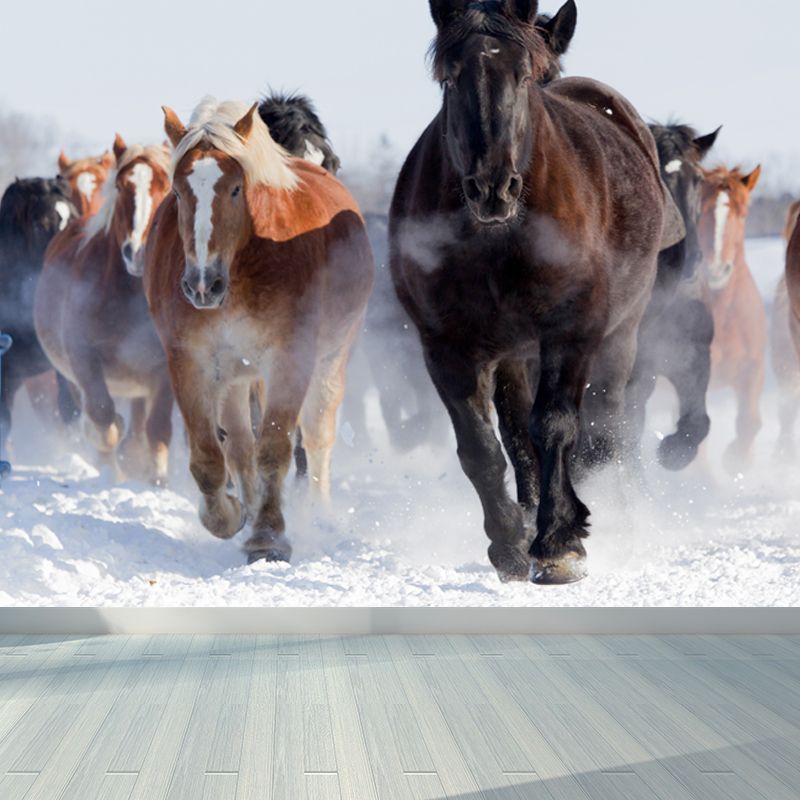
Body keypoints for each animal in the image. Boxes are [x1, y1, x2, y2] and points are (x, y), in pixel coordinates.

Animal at [35, 136, 173, 483]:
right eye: (122, 187)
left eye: (166, 186)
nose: (137, 252)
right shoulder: (83, 359)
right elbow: (101, 417)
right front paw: (112, 470)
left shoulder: (167, 366)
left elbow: (157, 426)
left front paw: (156, 477)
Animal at [145, 98, 373, 564]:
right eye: (177, 191)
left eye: (236, 189)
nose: (202, 285)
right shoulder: (190, 361)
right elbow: (210, 455)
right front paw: (230, 516)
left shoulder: (290, 359)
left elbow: (275, 447)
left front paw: (268, 538)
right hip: (236, 375)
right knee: (238, 445)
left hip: (328, 361)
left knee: (317, 437)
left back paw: (318, 514)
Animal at [390, 0, 675, 585]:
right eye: (449, 77)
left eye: (523, 75)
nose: (492, 187)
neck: (500, 240)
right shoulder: (449, 347)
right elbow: (483, 448)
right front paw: (510, 542)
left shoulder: (571, 332)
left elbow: (557, 428)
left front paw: (559, 542)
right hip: (514, 353)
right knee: (520, 433)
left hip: (620, 336)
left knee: (605, 425)